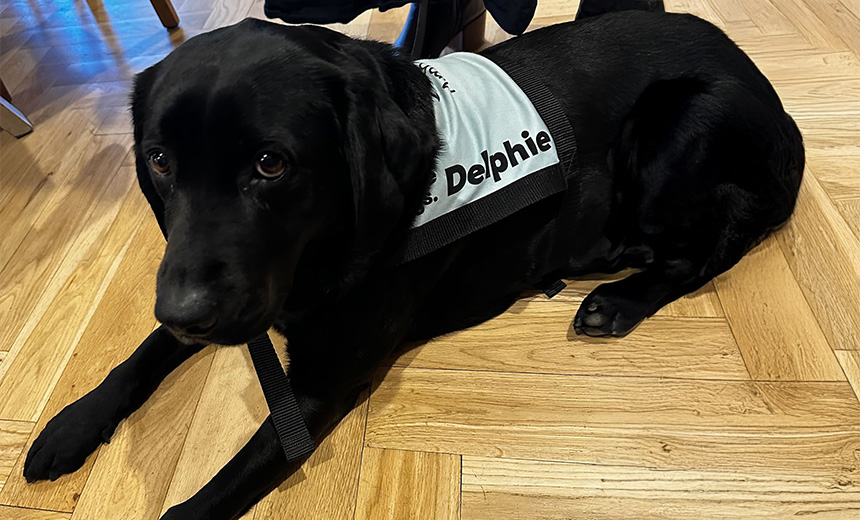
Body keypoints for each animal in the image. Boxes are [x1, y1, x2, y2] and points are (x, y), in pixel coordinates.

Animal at [28, 2, 808, 516]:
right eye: (159, 161)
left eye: (271, 164)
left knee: (712, 248)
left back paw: (618, 298)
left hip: (676, 127)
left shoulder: (318, 387)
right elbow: (144, 351)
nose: (188, 313)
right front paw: (70, 424)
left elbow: (200, 500)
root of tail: (779, 108)